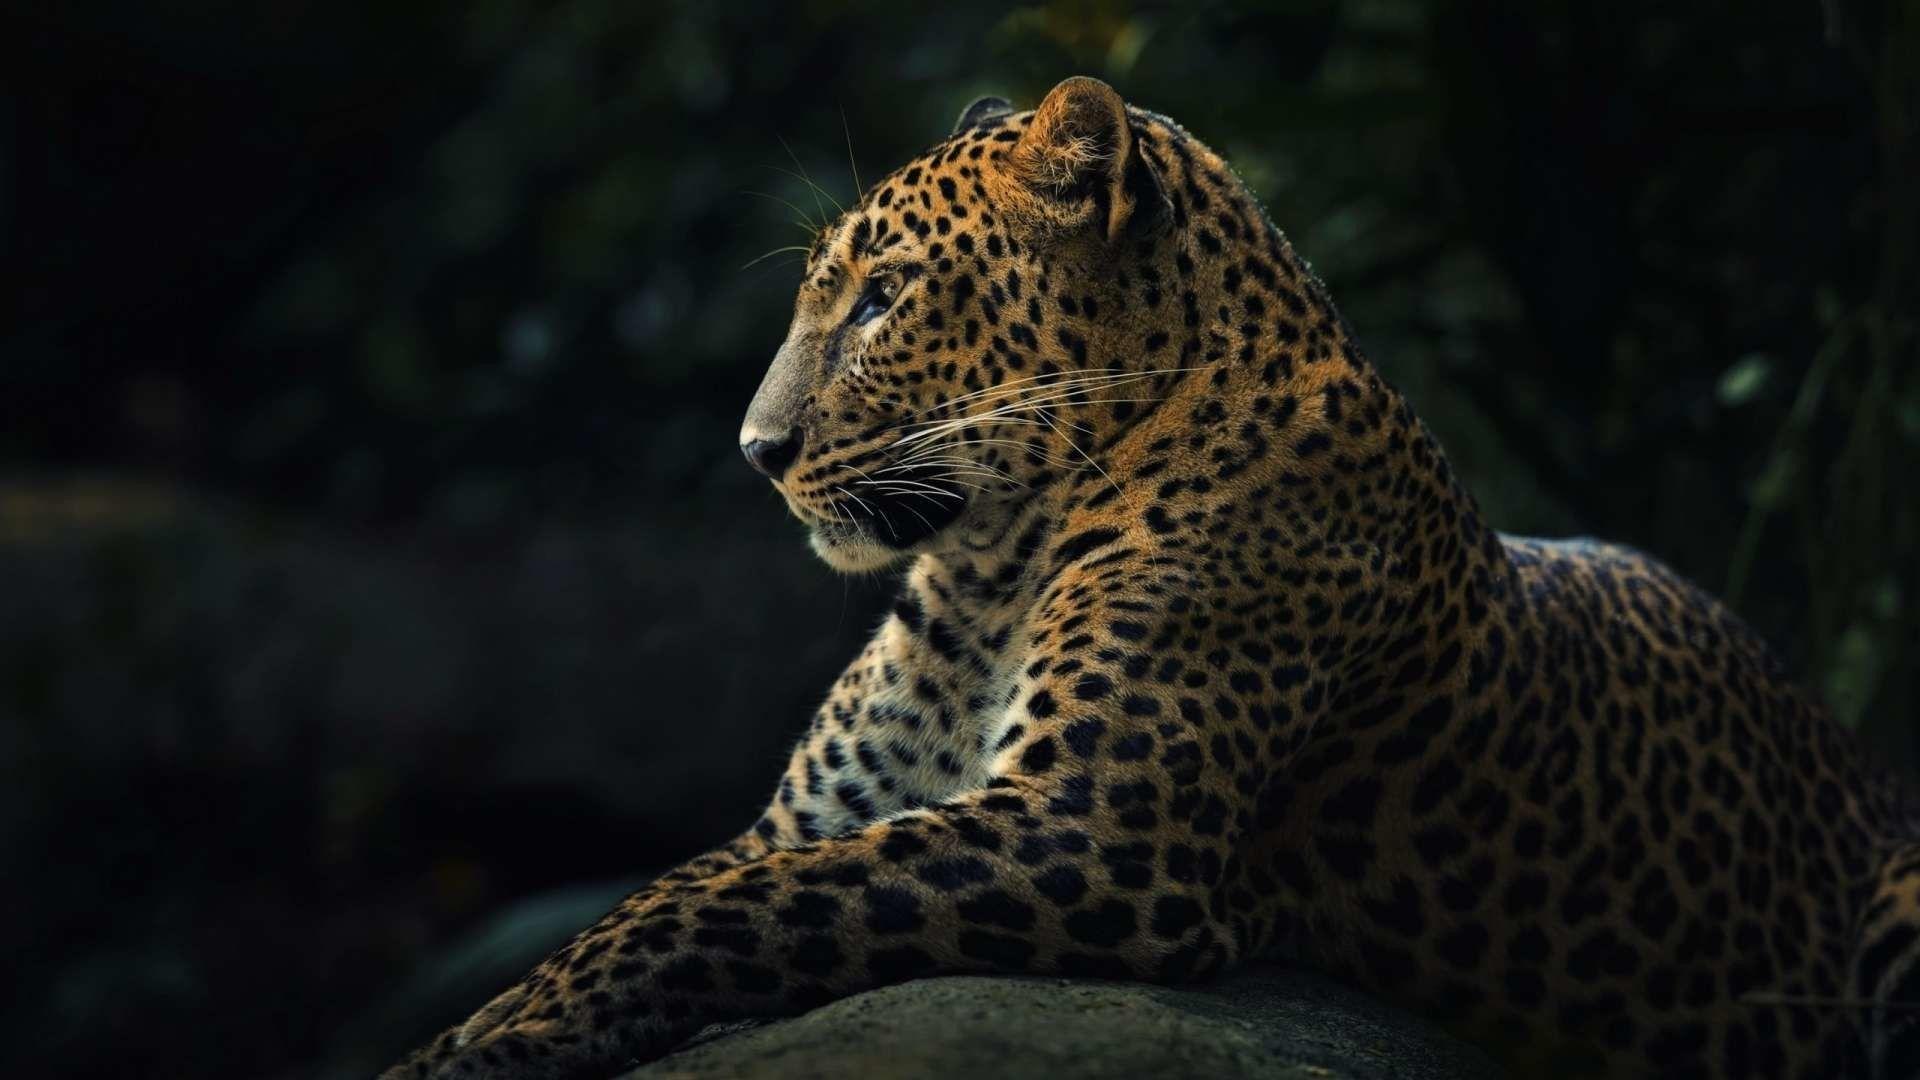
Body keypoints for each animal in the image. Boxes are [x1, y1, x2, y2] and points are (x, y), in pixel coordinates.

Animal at [384, 76, 1920, 1080]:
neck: (984, 574)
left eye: (882, 297)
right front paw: (478, 1029)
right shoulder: (809, 816)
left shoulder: (1094, 834)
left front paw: (493, 1042)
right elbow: (651, 900)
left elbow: (715, 907)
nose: (759, 454)